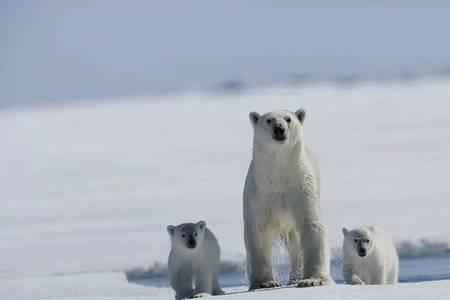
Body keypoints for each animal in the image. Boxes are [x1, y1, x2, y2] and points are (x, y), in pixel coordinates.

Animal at [244, 109, 332, 290]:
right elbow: (257, 232)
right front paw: (265, 282)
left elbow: (311, 226)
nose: (279, 129)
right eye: (269, 120)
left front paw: (312, 280)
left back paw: (295, 278)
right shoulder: (259, 194)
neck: (278, 174)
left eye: (288, 119)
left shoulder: (301, 189)